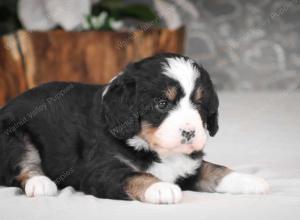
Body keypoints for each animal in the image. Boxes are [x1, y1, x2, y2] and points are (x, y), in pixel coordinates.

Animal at [0, 53, 270, 205]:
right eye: (162, 103)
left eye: (200, 105)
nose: (190, 133)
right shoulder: (101, 169)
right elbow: (133, 175)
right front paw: (160, 187)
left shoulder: (189, 165)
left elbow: (214, 169)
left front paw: (250, 180)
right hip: (13, 136)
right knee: (22, 165)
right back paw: (41, 182)